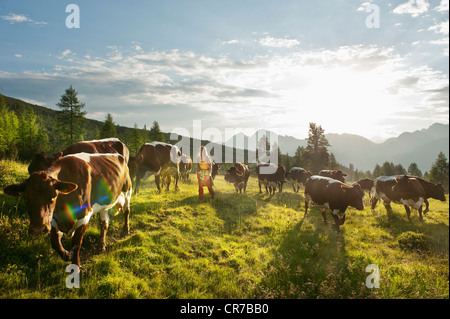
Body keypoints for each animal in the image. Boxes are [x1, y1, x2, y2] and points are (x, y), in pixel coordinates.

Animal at [4, 152, 132, 268]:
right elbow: (55, 243)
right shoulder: (53, 219)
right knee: (104, 224)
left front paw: (76, 267)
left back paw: (125, 231)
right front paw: (66, 254)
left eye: (54, 196)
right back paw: (101, 246)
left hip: (127, 191)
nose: (38, 230)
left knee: (126, 212)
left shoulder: (84, 215)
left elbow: (76, 244)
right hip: (104, 204)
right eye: (25, 198)